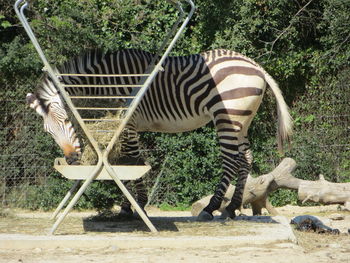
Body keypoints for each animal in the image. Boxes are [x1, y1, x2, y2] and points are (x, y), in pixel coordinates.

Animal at [26, 48, 292, 222]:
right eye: (48, 130)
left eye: (64, 120)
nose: (71, 159)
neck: (107, 82)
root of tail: (256, 66)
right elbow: (122, 163)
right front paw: (129, 206)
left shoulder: (130, 123)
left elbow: (132, 162)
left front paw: (136, 206)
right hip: (242, 120)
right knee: (245, 159)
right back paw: (233, 207)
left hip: (228, 116)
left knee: (230, 161)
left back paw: (211, 207)